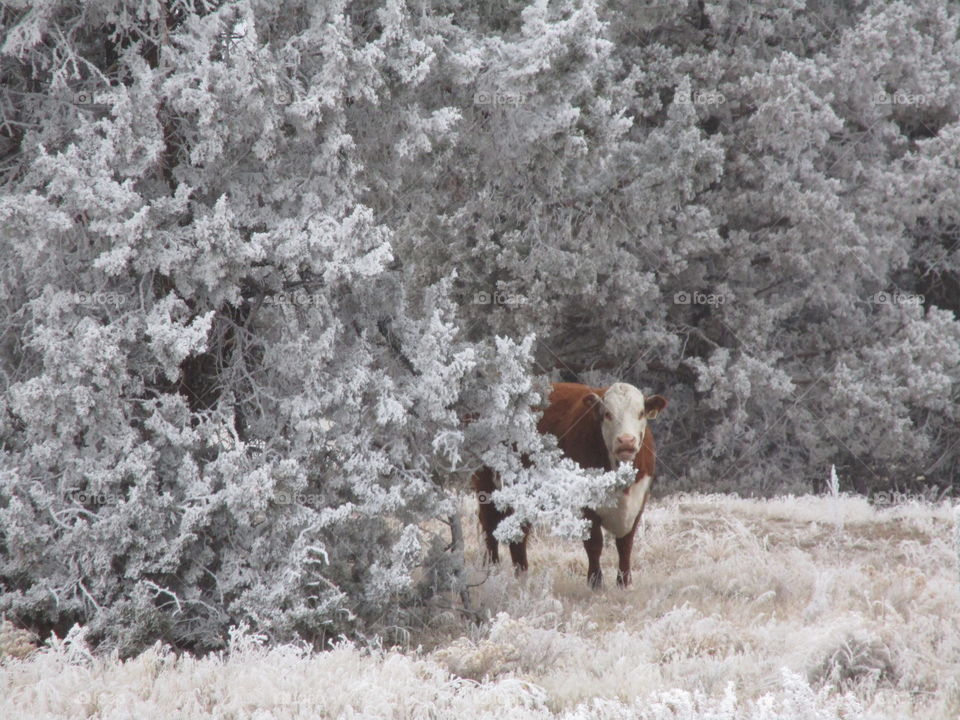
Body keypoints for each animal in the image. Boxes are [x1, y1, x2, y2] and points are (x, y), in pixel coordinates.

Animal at [472, 380, 668, 588]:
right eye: (608, 414)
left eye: (641, 413)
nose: (626, 441)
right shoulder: (585, 503)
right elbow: (594, 543)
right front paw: (595, 583)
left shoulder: (639, 501)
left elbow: (625, 544)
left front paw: (624, 583)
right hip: (486, 483)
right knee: (491, 526)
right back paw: (493, 571)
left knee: (518, 533)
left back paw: (520, 576)